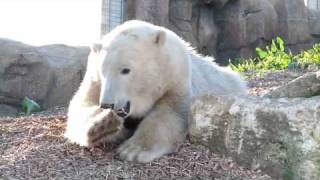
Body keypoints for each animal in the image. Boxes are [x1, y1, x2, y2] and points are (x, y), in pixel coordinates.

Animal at [64, 20, 245, 163]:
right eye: (103, 71)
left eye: (125, 70)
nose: (107, 104)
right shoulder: (95, 81)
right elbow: (82, 106)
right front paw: (103, 125)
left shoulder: (175, 78)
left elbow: (168, 114)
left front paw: (133, 150)